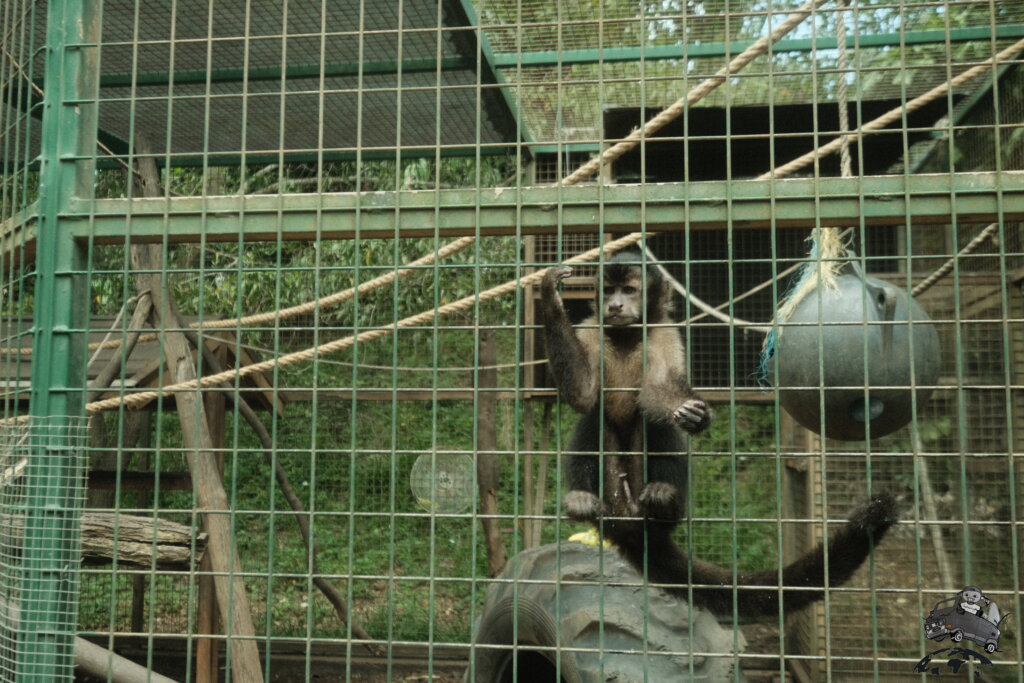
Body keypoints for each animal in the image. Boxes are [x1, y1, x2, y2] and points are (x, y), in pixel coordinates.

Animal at [540, 248, 901, 618]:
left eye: (628, 290)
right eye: (608, 291)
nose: (614, 306)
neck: (626, 334)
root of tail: (628, 524)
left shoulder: (663, 331)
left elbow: (660, 396)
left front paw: (695, 416)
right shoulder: (590, 329)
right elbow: (583, 394)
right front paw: (551, 298)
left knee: (653, 422)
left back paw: (664, 497)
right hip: (613, 489)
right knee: (596, 418)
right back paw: (581, 498)